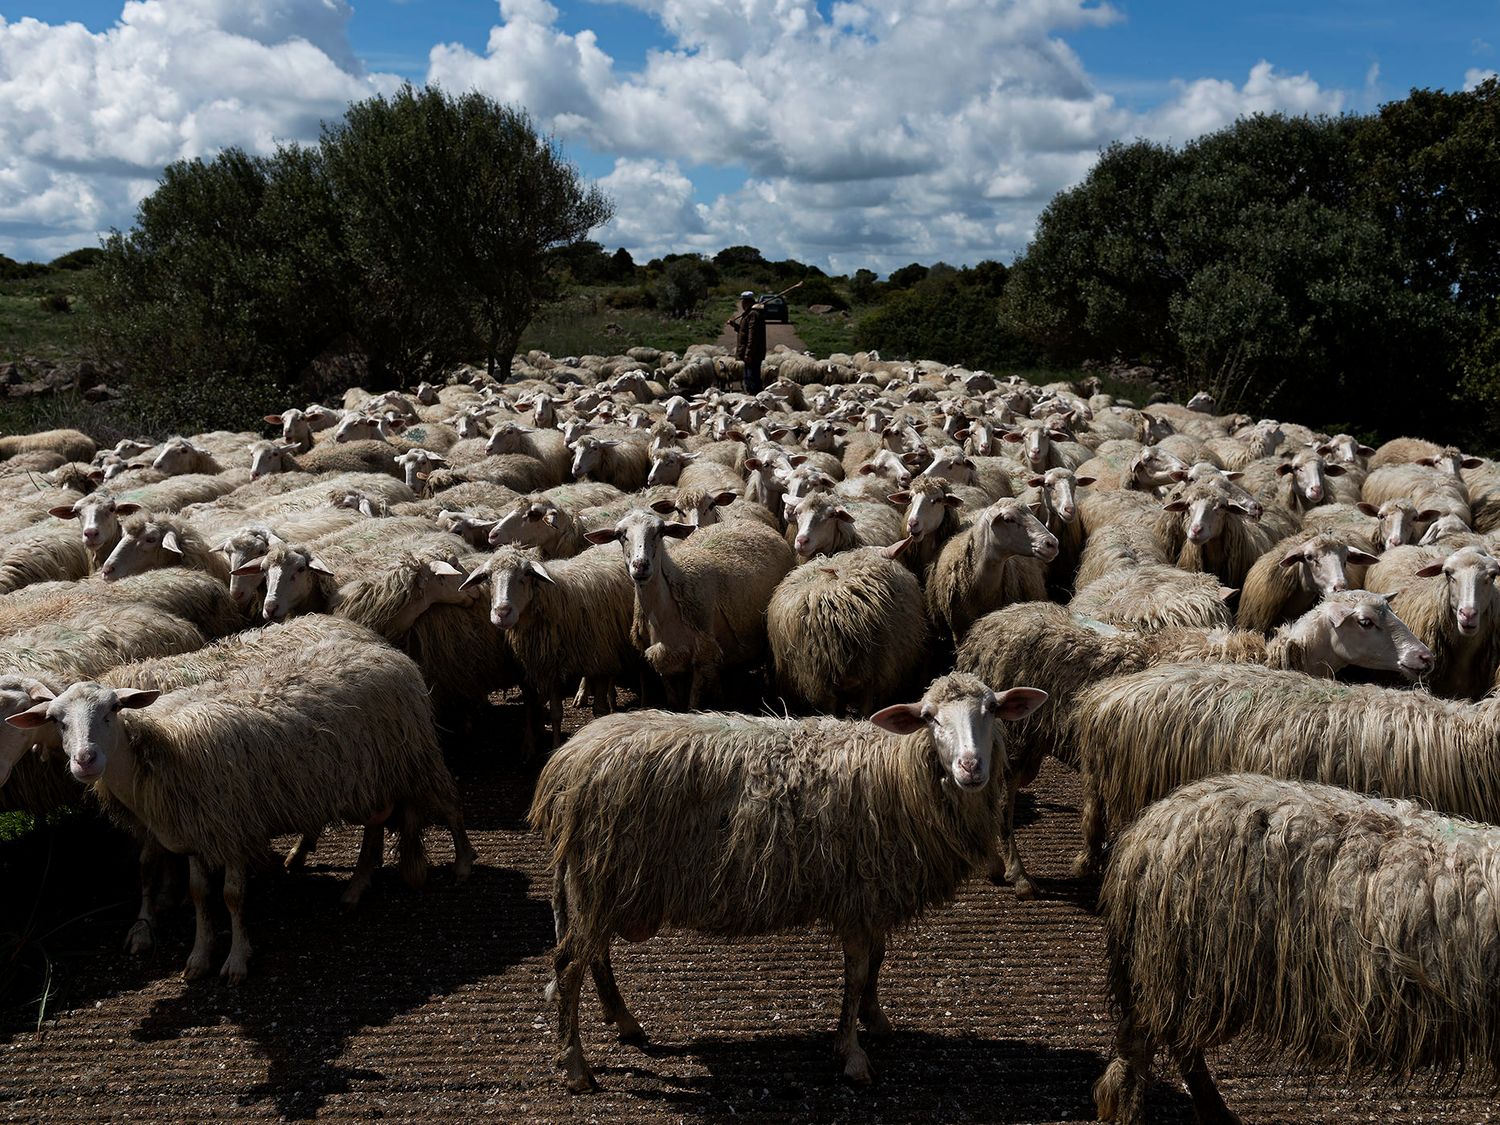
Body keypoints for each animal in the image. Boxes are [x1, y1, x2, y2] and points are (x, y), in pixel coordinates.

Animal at [460, 545, 636, 747]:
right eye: (488, 577)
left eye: (527, 573)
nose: (502, 613)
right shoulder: (545, 664)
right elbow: (545, 711)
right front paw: (538, 745)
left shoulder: (597, 656)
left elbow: (591, 710)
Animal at [529, 673, 1048, 1091]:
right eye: (929, 719)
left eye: (992, 710)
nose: (970, 767)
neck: (898, 772)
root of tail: (567, 760)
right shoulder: (857, 894)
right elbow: (857, 972)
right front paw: (851, 1054)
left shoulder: (872, 890)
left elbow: (877, 962)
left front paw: (875, 1018)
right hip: (600, 874)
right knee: (570, 966)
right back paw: (576, 1067)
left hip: (602, 880)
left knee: (595, 955)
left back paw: (625, 1022)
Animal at [583, 510, 795, 709]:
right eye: (620, 535)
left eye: (660, 532)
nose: (640, 566)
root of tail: (753, 523)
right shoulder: (664, 662)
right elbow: (674, 703)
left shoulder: (702, 659)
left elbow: (693, 706)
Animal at [957, 594, 1432, 899]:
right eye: (1366, 622)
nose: (1425, 657)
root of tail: (986, 626)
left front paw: (1091, 858)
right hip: (1016, 736)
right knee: (1003, 799)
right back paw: (1017, 875)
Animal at [1095, 775, 1500, 1125]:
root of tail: (1147, 830)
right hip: (1182, 964)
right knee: (1144, 1045)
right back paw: (1137, 1112)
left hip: (1188, 972)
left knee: (1180, 1044)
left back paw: (1215, 1113)